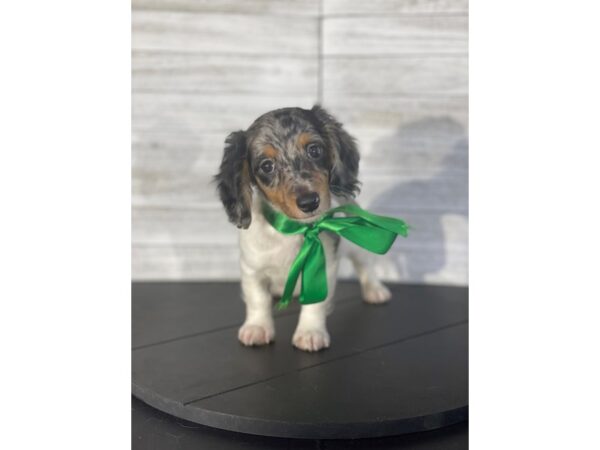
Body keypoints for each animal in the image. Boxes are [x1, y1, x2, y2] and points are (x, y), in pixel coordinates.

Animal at [218, 105, 392, 352]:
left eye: (314, 150)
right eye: (266, 166)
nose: (309, 202)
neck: (293, 230)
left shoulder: (323, 267)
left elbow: (315, 304)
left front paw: (310, 332)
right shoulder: (252, 268)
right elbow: (257, 300)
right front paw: (257, 328)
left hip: (356, 246)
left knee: (365, 266)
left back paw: (375, 290)